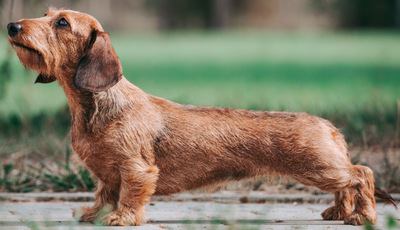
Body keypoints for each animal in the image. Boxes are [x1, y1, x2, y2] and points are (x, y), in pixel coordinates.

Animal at [7, 7, 396, 226]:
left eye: (61, 22)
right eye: (47, 12)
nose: (11, 26)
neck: (97, 105)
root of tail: (327, 125)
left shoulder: (136, 169)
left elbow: (129, 195)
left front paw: (121, 218)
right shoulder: (107, 174)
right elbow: (104, 194)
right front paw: (93, 215)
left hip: (320, 167)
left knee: (361, 174)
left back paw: (363, 216)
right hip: (324, 169)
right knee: (349, 182)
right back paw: (340, 213)